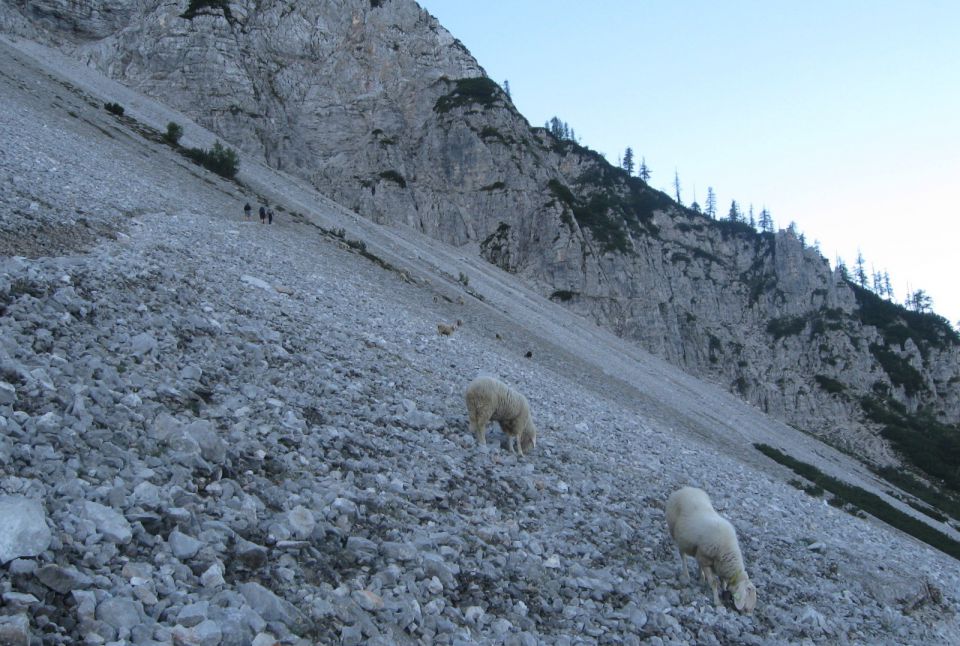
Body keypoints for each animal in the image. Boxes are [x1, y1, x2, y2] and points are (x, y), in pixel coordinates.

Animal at [664, 488, 752, 616]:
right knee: (682, 555)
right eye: (748, 594)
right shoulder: (705, 558)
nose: (749, 613)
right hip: (679, 537)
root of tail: (684, 489)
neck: (727, 551)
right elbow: (714, 582)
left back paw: (700, 577)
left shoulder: (712, 561)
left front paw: (719, 588)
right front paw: (717, 601)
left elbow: (722, 581)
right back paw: (686, 575)